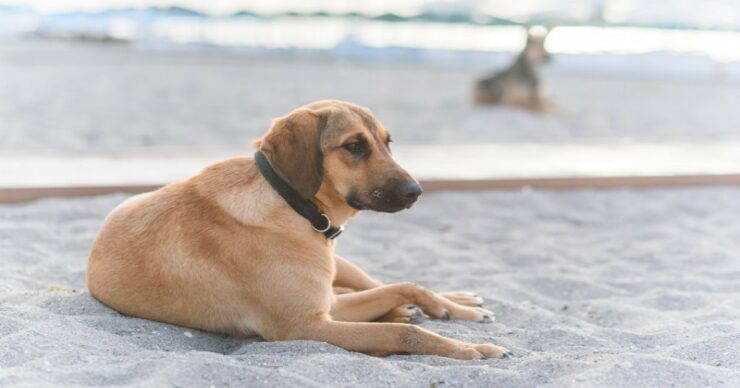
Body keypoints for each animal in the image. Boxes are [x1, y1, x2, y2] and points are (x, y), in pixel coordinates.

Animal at [86, 100, 512, 360]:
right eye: (354, 146)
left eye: (387, 143)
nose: (416, 192)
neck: (291, 204)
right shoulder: (308, 324)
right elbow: (403, 335)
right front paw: (470, 350)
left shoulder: (325, 308)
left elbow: (406, 286)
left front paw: (455, 315)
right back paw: (408, 312)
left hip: (344, 269)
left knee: (390, 283)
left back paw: (455, 303)